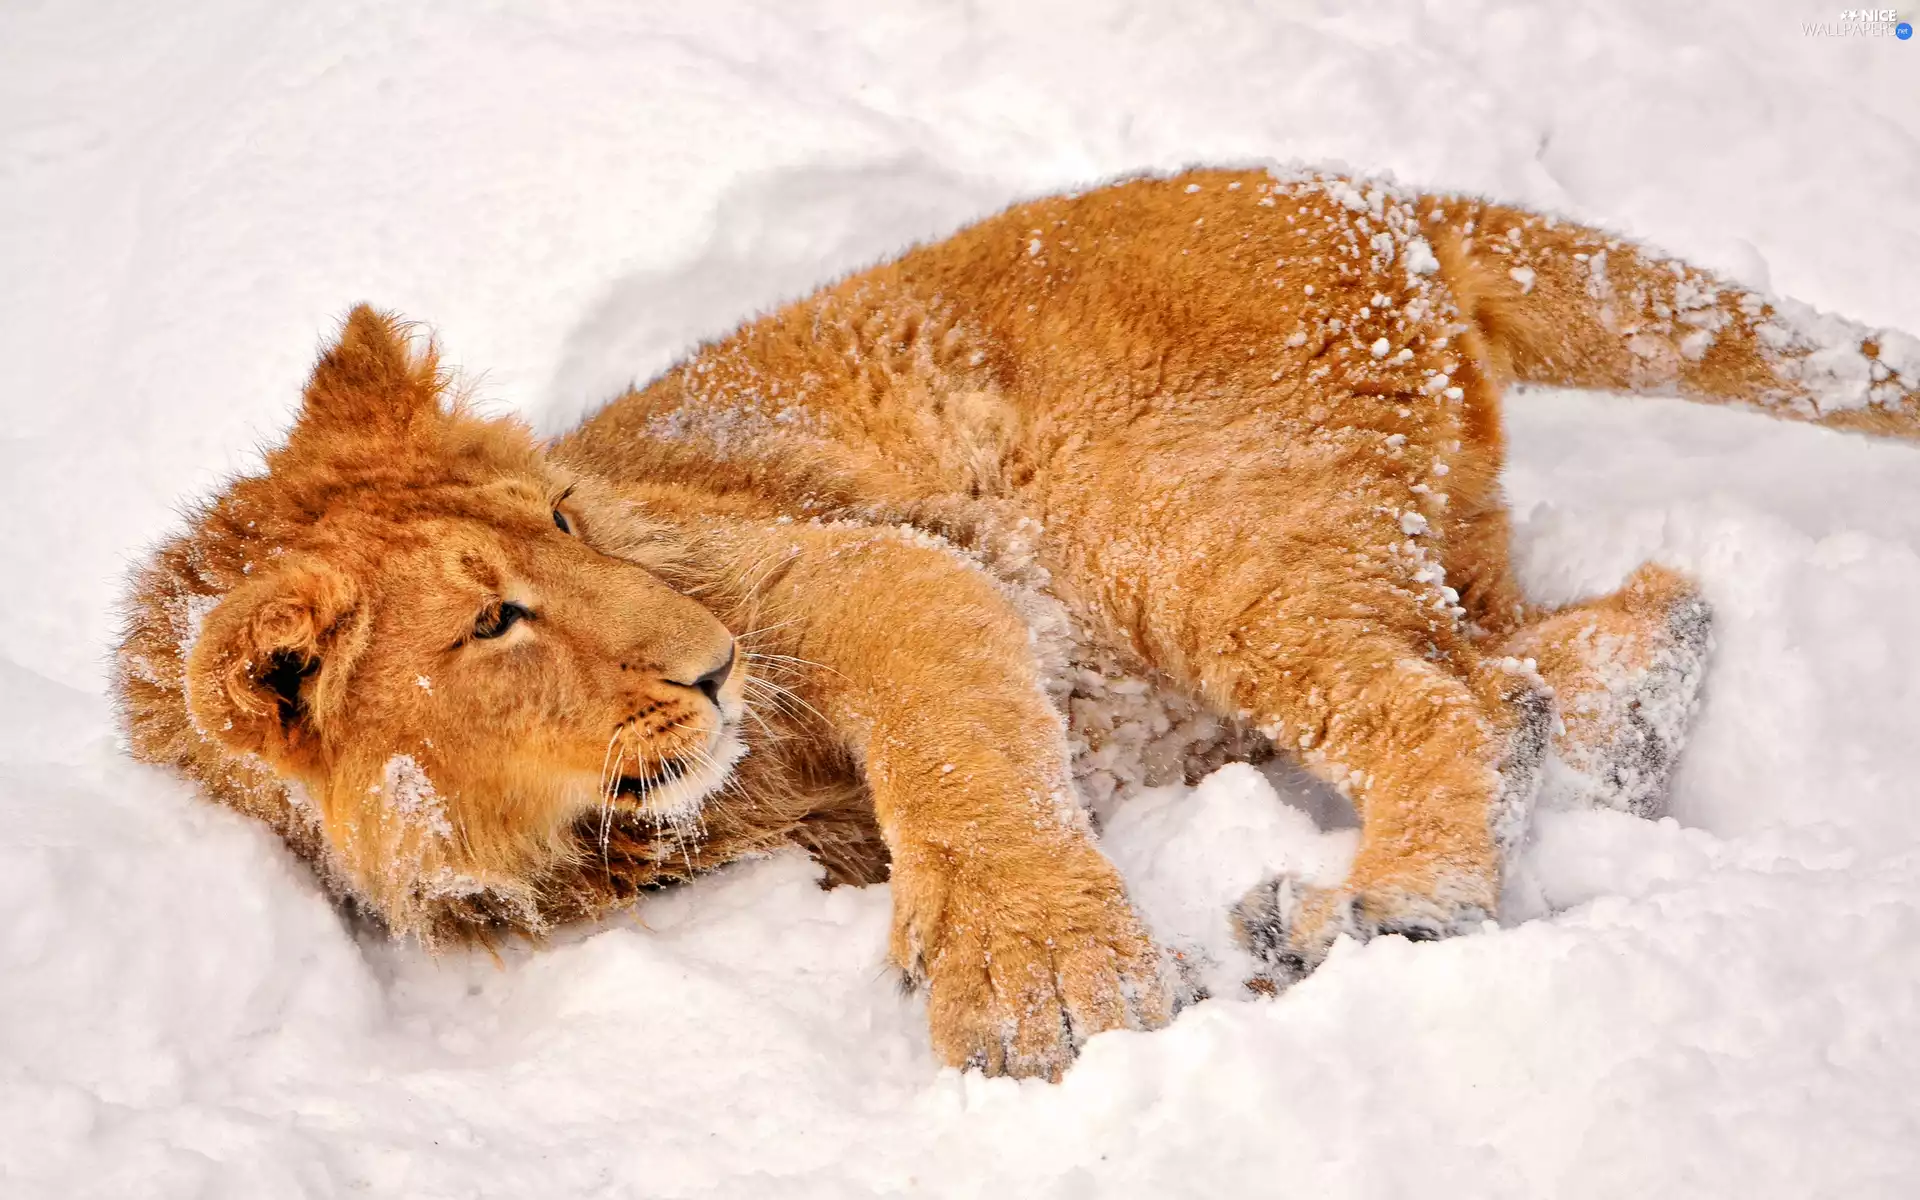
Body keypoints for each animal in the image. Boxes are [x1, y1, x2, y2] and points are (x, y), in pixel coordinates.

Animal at [115, 167, 1920, 1079]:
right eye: (494, 623)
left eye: (564, 526)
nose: (709, 663)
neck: (573, 839)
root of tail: (1361, 189)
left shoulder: (847, 571)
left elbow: (956, 753)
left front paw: (1045, 984)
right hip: (1396, 536)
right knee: (1584, 643)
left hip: (1182, 524)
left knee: (1451, 704)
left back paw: (1384, 911)